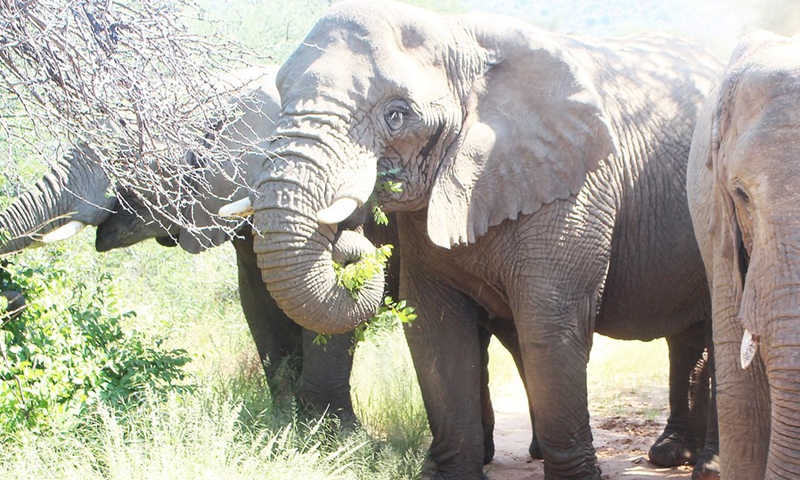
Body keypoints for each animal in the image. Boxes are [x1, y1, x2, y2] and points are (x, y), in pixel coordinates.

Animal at [233, 1, 724, 478]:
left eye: (397, 114)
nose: (348, 241)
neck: (460, 36)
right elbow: (436, 329)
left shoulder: (575, 186)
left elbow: (550, 325)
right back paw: (672, 455)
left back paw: (706, 466)